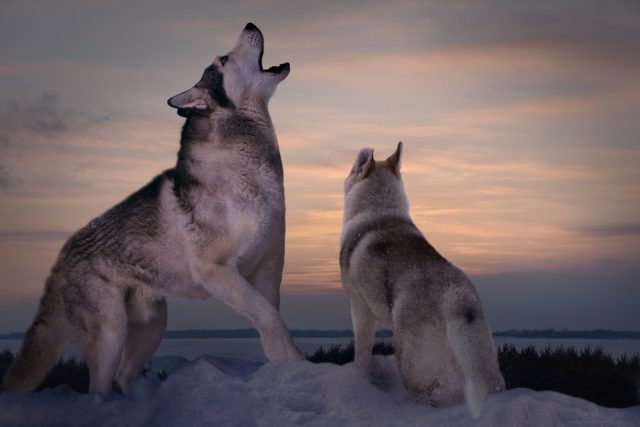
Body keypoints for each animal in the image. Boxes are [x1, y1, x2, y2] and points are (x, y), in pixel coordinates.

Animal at [3, 23, 301, 395]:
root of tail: (62, 255)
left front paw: (287, 368)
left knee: (123, 377)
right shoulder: (216, 272)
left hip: (152, 327)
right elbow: (270, 318)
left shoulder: (269, 268)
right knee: (99, 388)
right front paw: (295, 364)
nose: (250, 24)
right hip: (110, 336)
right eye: (223, 59)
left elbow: (272, 319)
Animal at [340, 143, 505, 418]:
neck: (379, 209)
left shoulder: (359, 307)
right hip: (476, 350)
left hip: (409, 355)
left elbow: (361, 352)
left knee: (433, 390)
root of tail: (456, 293)